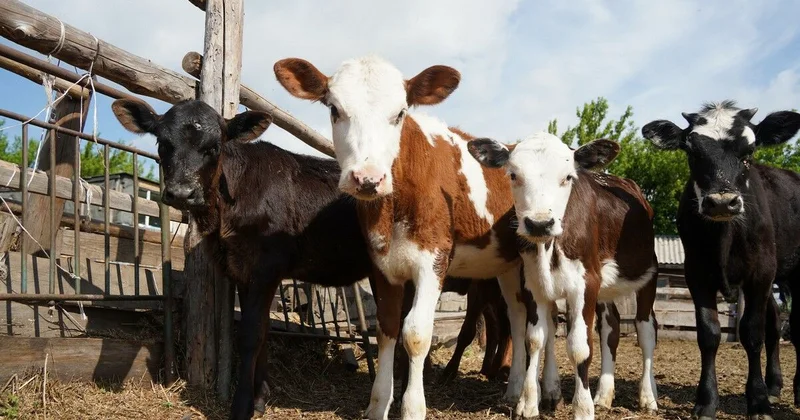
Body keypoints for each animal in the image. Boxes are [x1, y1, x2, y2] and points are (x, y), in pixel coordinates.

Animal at [110, 99, 377, 420]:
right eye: (163, 143)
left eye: (214, 147)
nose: (182, 193)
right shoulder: (241, 269)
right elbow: (261, 331)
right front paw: (259, 399)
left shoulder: (267, 267)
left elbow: (250, 335)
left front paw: (241, 407)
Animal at [274, 55, 537, 420]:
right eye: (334, 109)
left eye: (400, 113)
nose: (368, 178)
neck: (393, 209)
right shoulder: (381, 264)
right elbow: (387, 329)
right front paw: (379, 404)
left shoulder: (434, 261)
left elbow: (415, 334)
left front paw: (412, 407)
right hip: (505, 265)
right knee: (516, 314)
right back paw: (512, 390)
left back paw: (527, 397)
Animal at [468, 134, 659, 419]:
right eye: (513, 175)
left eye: (568, 177)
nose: (539, 223)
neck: (549, 247)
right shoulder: (534, 284)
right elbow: (534, 339)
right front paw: (528, 403)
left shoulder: (585, 283)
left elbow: (579, 348)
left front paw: (582, 408)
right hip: (604, 288)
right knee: (611, 327)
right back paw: (604, 395)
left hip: (648, 273)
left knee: (646, 329)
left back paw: (647, 396)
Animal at [642, 101, 800, 419]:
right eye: (691, 152)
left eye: (749, 151)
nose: (722, 202)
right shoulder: (697, 275)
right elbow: (709, 333)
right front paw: (706, 401)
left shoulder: (760, 274)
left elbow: (751, 333)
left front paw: (758, 402)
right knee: (775, 326)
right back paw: (775, 385)